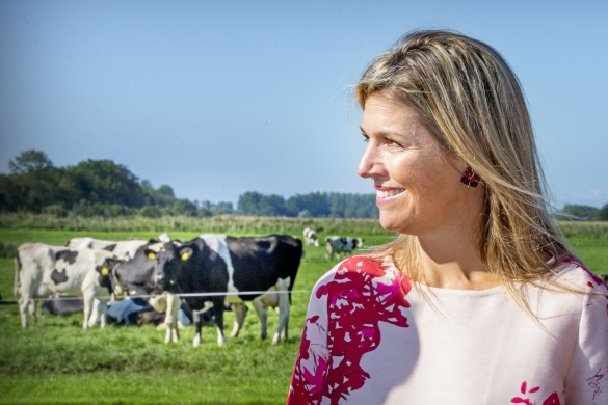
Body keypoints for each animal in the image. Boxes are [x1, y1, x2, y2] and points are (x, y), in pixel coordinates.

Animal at [156, 235, 300, 346]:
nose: (159, 279)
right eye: (157, 260)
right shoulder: (196, 298)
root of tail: (290, 238)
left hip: (284, 288)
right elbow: (197, 319)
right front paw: (197, 342)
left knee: (283, 312)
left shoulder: (218, 294)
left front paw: (221, 342)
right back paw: (279, 337)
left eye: (173, 261)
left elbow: (218, 318)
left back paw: (276, 339)